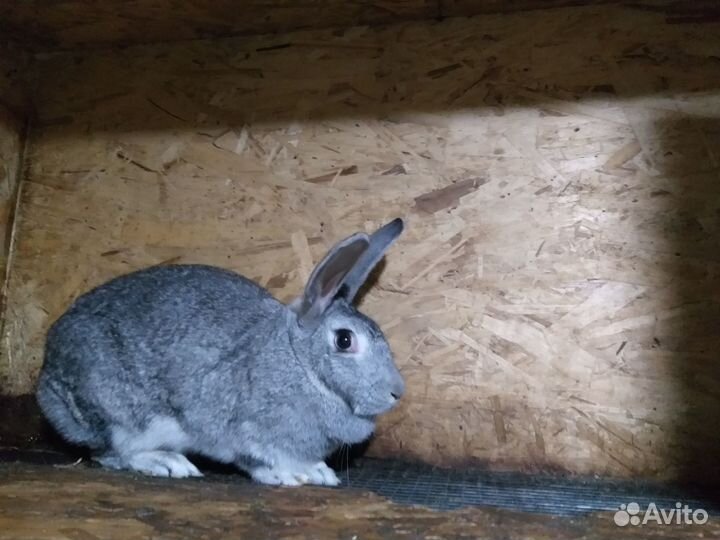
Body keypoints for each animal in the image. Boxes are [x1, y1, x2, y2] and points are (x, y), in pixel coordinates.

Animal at [36, 217, 404, 488]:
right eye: (344, 340)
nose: (396, 393)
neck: (299, 363)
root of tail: (46, 377)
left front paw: (318, 472)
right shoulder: (241, 428)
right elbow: (255, 459)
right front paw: (292, 475)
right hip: (119, 416)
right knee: (112, 454)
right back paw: (168, 463)